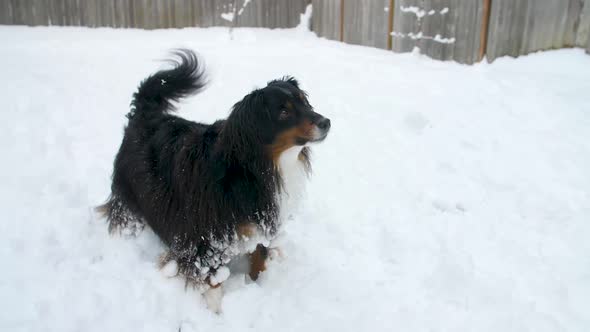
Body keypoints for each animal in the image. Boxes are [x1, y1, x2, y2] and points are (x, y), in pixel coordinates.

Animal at [100, 49, 332, 312]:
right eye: (284, 112)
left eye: (304, 101)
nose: (326, 122)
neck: (254, 169)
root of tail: (146, 113)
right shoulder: (205, 239)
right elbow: (213, 280)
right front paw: (216, 311)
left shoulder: (260, 222)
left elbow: (259, 260)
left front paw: (257, 285)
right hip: (129, 198)